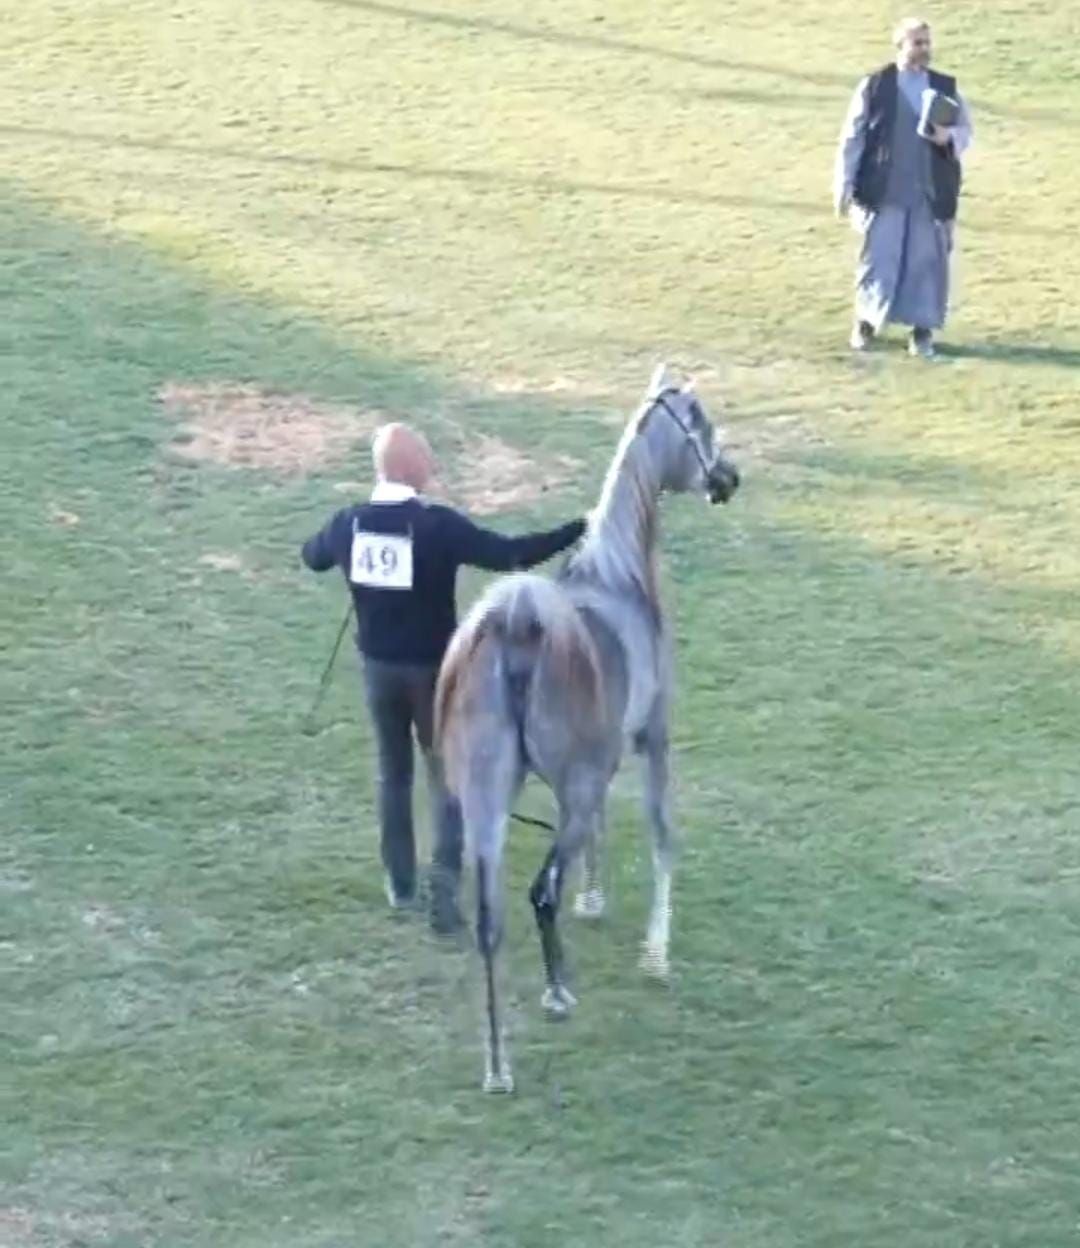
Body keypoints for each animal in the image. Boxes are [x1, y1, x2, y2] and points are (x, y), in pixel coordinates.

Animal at [434, 364, 739, 1093]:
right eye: (703, 422)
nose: (729, 477)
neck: (617, 577)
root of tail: (518, 624)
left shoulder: (598, 771)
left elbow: (604, 832)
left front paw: (594, 901)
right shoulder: (653, 737)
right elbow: (662, 833)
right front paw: (656, 951)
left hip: (490, 802)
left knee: (490, 918)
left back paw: (498, 1066)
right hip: (567, 792)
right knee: (539, 890)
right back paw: (557, 994)